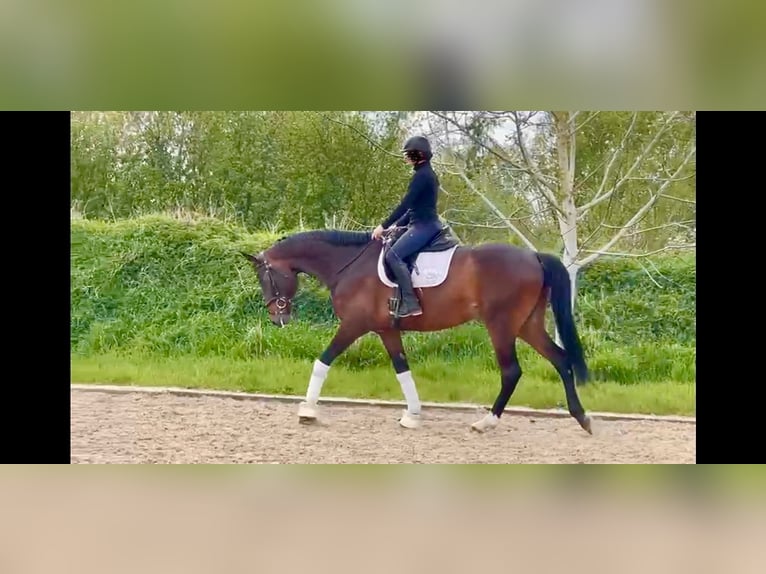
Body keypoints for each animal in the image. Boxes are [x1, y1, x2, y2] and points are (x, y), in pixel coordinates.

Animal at [240, 226, 592, 436]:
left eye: (265, 277)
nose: (277, 317)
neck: (349, 265)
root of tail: (533, 256)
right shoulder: (386, 330)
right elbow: (402, 369)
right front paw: (413, 414)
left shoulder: (353, 325)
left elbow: (323, 361)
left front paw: (307, 411)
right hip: (526, 325)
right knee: (561, 359)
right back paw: (582, 417)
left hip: (502, 325)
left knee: (512, 371)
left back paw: (486, 422)